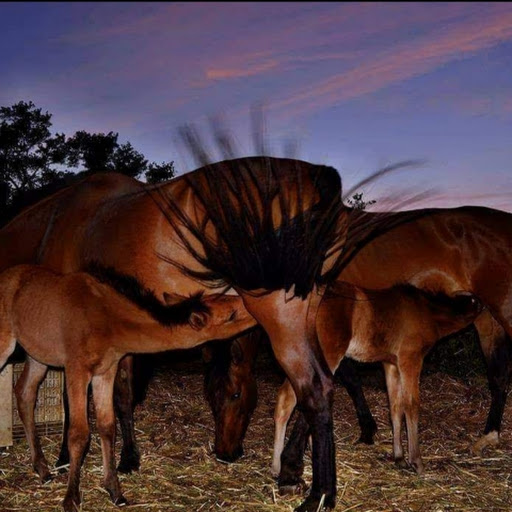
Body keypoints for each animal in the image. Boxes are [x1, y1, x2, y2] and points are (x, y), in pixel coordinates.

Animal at [0, 264, 256, 512]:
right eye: (231, 315)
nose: (253, 312)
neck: (108, 318)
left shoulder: (105, 372)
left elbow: (107, 426)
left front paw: (115, 491)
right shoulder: (76, 370)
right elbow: (79, 433)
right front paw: (71, 498)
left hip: (38, 356)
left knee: (24, 393)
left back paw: (42, 469)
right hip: (6, 347)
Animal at [270, 280, 482, 476]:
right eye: (474, 300)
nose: (483, 304)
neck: (427, 311)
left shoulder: (391, 365)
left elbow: (395, 407)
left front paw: (399, 457)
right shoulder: (410, 359)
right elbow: (411, 405)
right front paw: (416, 461)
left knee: (285, 398)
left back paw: (278, 465)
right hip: (327, 356)